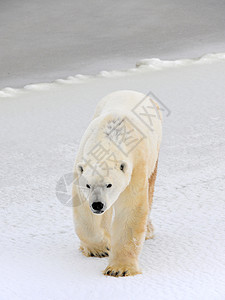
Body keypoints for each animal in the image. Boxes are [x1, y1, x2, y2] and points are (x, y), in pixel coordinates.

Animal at [73, 89, 163, 276]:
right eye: (88, 185)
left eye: (109, 184)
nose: (97, 205)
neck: (109, 138)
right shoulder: (81, 167)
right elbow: (84, 211)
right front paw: (100, 249)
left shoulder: (135, 167)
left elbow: (131, 210)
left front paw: (119, 269)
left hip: (155, 151)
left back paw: (148, 231)